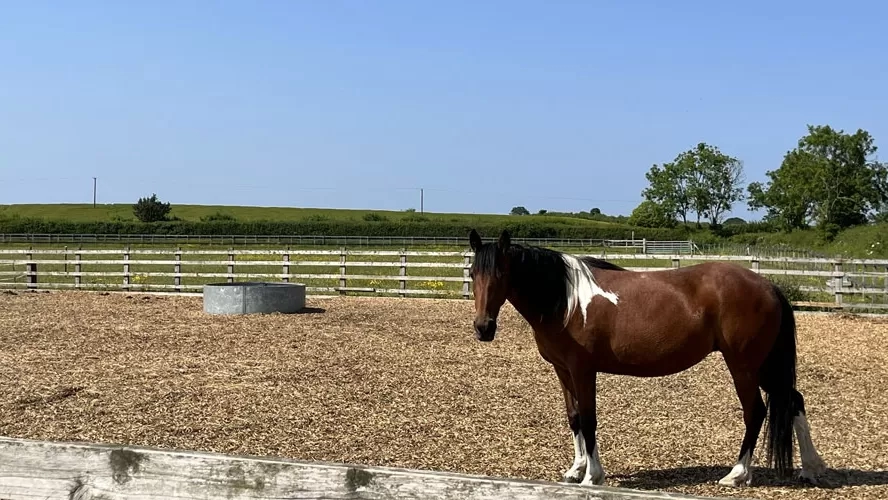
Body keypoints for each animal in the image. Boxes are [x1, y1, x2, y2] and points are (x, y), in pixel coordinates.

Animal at [467, 228, 827, 488]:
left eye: (501, 274)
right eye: (473, 274)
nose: (484, 328)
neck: (567, 301)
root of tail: (769, 286)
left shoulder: (583, 370)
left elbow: (589, 419)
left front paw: (592, 476)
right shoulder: (562, 370)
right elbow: (574, 418)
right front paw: (575, 469)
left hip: (743, 365)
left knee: (756, 412)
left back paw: (737, 474)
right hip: (763, 365)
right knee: (793, 399)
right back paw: (811, 468)